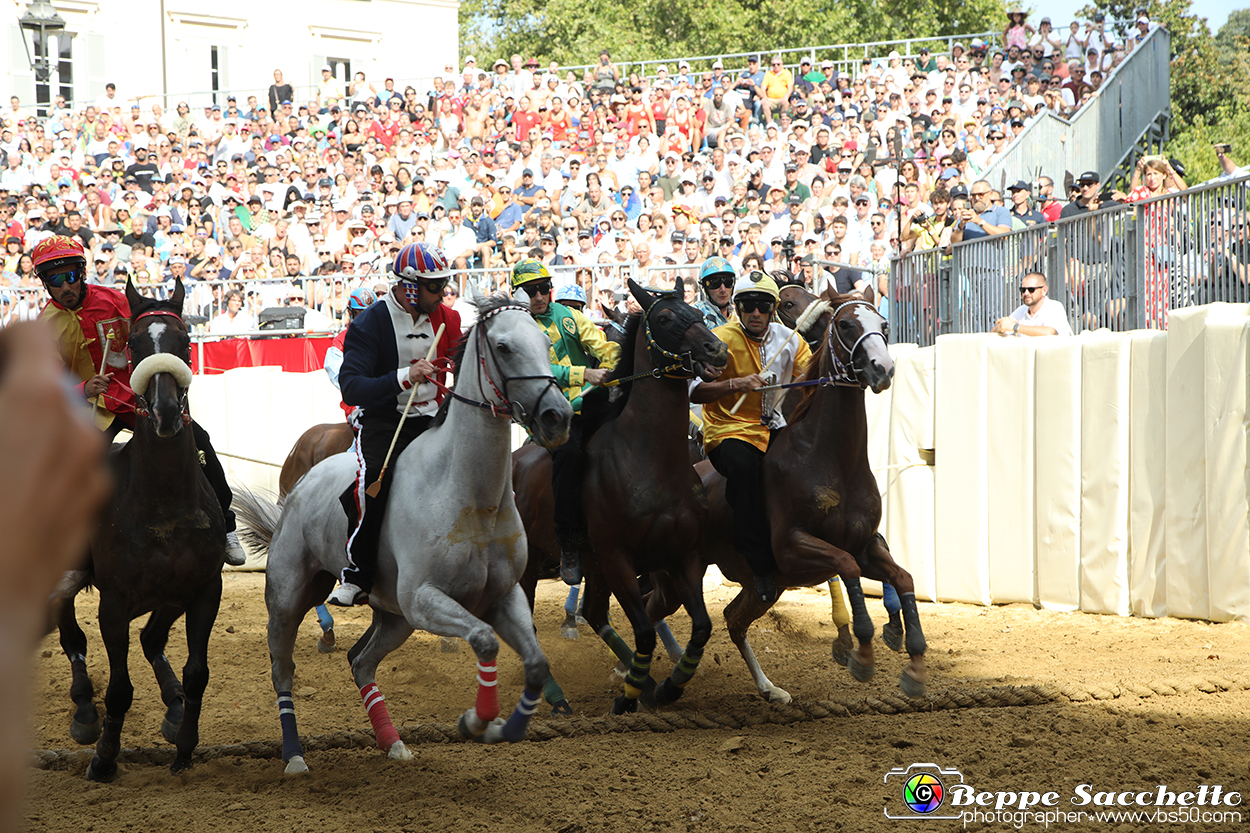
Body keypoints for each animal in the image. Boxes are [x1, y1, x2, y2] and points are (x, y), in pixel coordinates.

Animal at [57, 278, 228, 780]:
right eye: (133, 344)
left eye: (185, 343)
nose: (167, 412)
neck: (163, 503)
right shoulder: (114, 602)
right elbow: (119, 688)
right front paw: (105, 758)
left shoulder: (203, 590)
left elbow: (197, 673)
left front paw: (185, 745)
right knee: (70, 635)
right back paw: (85, 711)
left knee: (151, 640)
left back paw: (172, 706)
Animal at [235, 291, 572, 770]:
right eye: (504, 347)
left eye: (546, 342)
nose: (556, 417)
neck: (471, 497)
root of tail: (301, 482)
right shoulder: (424, 599)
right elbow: (484, 640)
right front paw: (476, 720)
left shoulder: (502, 595)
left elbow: (536, 663)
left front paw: (507, 728)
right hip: (287, 599)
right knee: (283, 670)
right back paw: (295, 756)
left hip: (393, 617)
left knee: (361, 661)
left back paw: (392, 741)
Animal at [515, 275, 730, 710]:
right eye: (664, 318)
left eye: (697, 313)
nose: (716, 348)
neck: (650, 459)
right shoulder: (618, 558)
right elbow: (645, 631)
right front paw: (630, 695)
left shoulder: (682, 555)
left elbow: (701, 627)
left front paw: (666, 685)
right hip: (532, 562)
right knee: (529, 623)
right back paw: (555, 694)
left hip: (592, 565)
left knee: (596, 614)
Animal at [665, 291, 930, 700]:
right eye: (845, 324)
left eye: (883, 325)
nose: (882, 367)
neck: (831, 459)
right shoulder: (792, 545)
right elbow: (846, 568)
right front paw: (861, 654)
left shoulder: (864, 544)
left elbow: (902, 578)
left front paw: (912, 661)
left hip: (763, 588)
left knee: (731, 619)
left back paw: (766, 688)